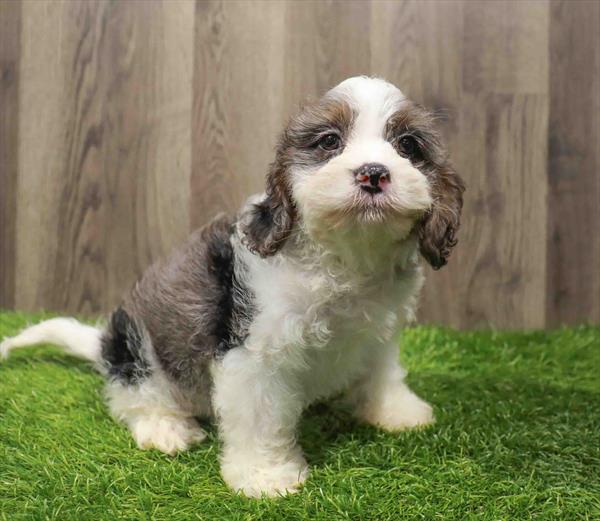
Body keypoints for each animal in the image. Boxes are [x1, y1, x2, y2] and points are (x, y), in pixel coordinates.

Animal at [1, 76, 464, 496]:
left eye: (408, 146)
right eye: (329, 141)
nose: (373, 174)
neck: (347, 256)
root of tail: (101, 344)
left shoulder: (378, 331)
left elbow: (382, 370)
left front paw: (396, 410)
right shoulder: (253, 352)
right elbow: (260, 417)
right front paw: (266, 476)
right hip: (136, 345)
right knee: (133, 394)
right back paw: (165, 428)